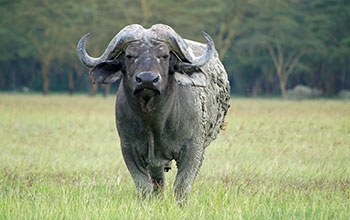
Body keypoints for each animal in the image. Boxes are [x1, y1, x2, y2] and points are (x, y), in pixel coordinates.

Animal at [76, 24, 230, 201]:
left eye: (164, 55)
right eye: (129, 55)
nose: (147, 79)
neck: (154, 121)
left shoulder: (193, 149)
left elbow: (182, 186)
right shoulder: (129, 149)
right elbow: (143, 186)